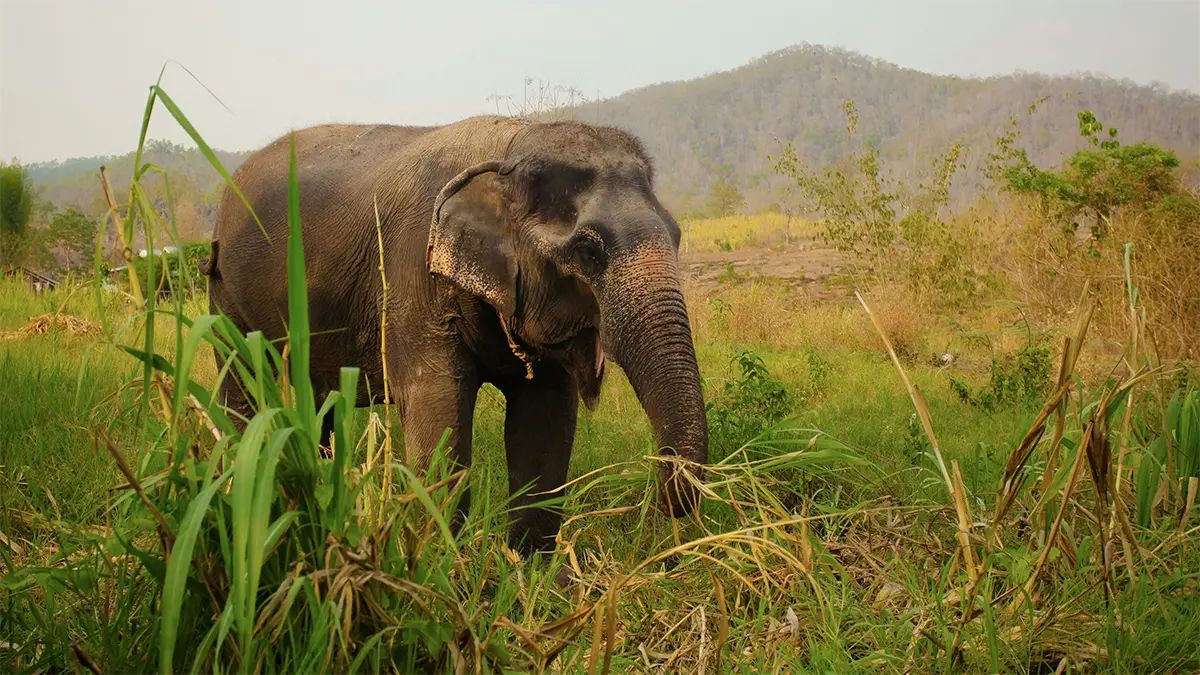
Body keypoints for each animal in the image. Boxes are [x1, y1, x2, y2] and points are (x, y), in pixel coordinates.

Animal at [199, 115, 708, 556]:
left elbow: (544, 422)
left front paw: (530, 577)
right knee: (241, 387)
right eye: (588, 251)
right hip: (225, 295)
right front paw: (442, 569)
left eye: (678, 236)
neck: (512, 149)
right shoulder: (412, 272)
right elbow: (438, 412)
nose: (661, 503)